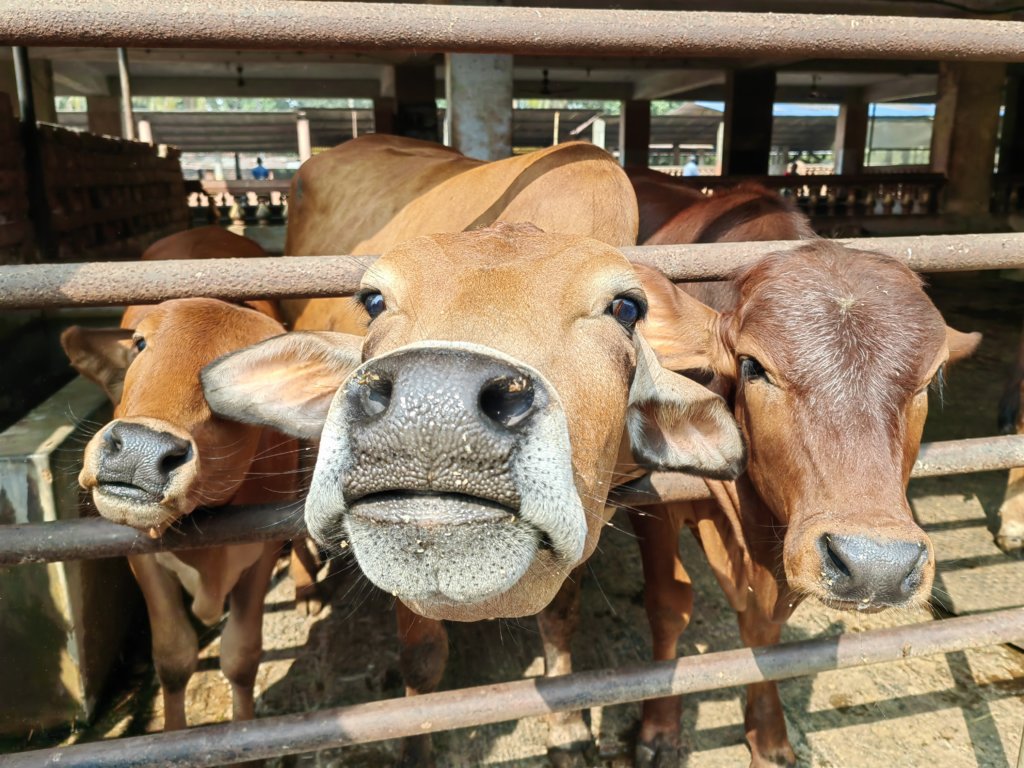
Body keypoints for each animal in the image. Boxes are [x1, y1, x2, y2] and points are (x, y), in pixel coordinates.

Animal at [60, 229, 303, 731]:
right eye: (139, 344)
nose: (139, 449)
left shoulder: (262, 549)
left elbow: (241, 656)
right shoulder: (141, 557)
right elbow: (173, 657)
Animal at [202, 222, 747, 763]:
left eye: (626, 308)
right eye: (374, 300)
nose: (434, 402)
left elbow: (560, 620)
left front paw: (567, 729)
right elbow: (421, 658)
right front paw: (415, 746)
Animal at [632, 240, 980, 767]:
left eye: (930, 379)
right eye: (753, 367)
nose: (877, 565)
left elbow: (763, 634)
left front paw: (769, 735)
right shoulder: (652, 501)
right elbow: (669, 605)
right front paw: (659, 727)